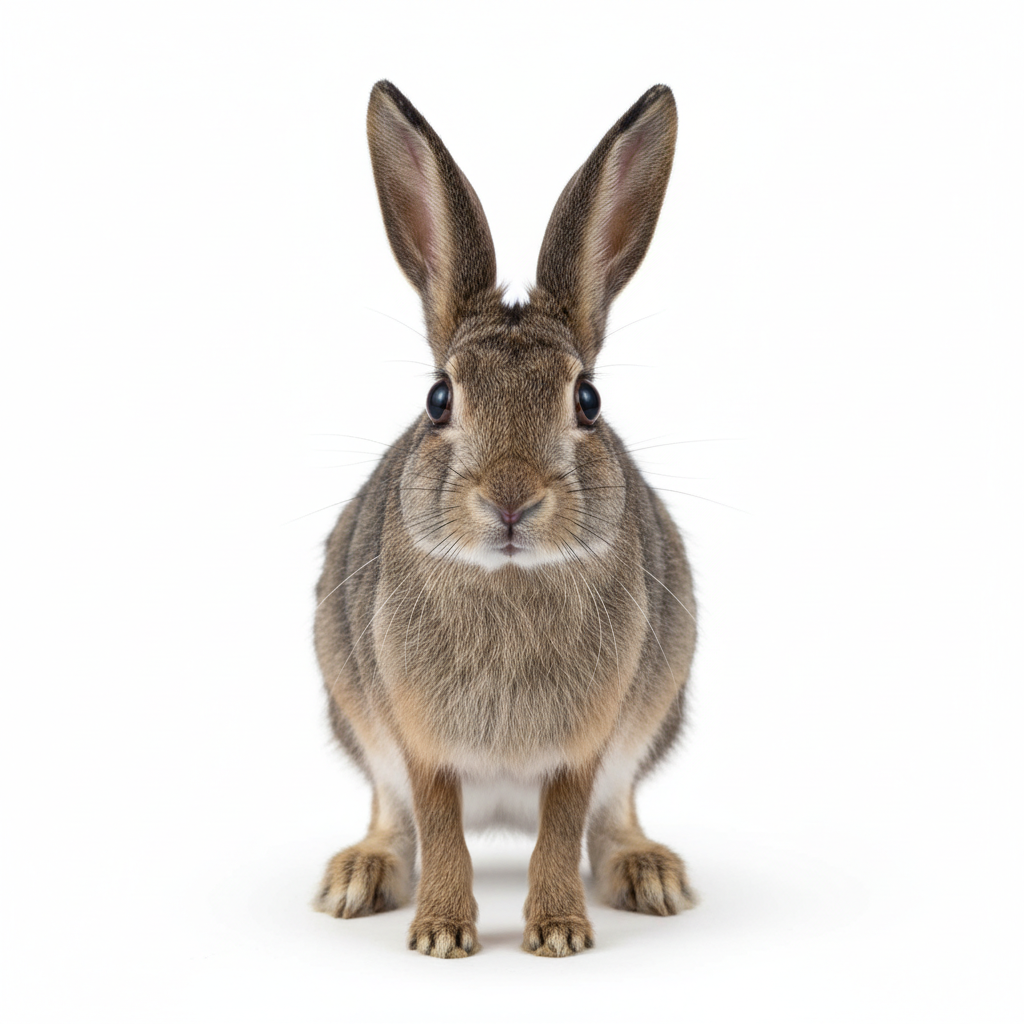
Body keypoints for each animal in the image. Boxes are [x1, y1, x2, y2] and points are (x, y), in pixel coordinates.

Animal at [313, 80, 697, 958]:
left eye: (587, 400)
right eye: (438, 398)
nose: (511, 499)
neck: (510, 579)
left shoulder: (585, 748)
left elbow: (561, 827)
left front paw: (557, 931)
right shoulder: (418, 742)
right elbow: (439, 825)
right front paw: (441, 933)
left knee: (612, 817)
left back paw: (650, 874)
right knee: (393, 817)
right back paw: (358, 876)